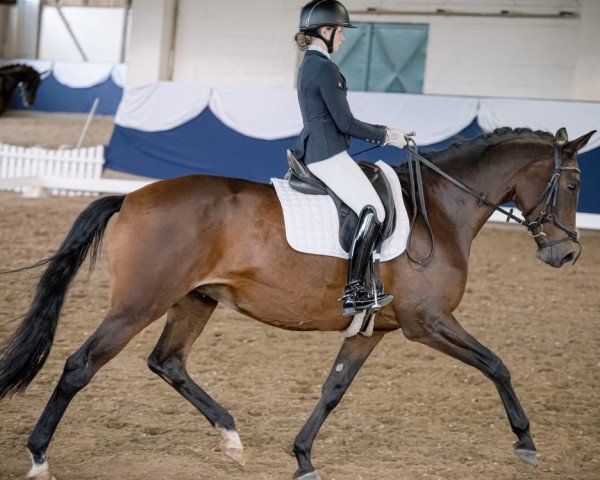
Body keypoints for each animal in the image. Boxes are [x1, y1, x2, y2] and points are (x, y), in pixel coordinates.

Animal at [0, 125, 592, 478]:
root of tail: (130, 196)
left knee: (167, 361)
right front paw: (525, 440)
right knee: (80, 366)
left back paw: (230, 435)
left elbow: (333, 389)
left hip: (194, 300)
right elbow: (497, 364)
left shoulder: (375, 329)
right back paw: (39, 457)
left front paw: (303, 457)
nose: (566, 253)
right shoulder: (428, 322)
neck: (440, 211)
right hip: (138, 305)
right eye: (574, 184)